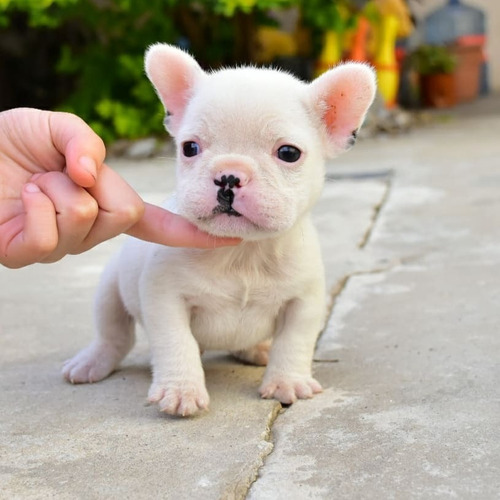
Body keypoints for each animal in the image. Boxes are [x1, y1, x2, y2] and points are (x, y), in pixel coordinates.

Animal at [63, 44, 376, 418]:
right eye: (190, 148)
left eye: (288, 153)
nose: (229, 174)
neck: (242, 251)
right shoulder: (164, 297)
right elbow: (176, 341)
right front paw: (180, 390)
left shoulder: (304, 299)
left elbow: (295, 340)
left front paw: (287, 382)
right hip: (110, 288)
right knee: (113, 334)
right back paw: (92, 362)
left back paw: (258, 350)